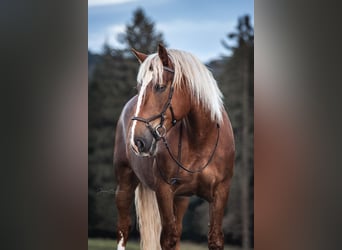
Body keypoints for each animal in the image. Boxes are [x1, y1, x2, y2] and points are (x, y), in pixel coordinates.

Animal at [115, 45, 235, 250]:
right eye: (140, 88)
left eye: (160, 87)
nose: (137, 141)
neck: (200, 140)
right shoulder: (164, 191)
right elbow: (168, 238)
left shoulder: (221, 192)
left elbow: (214, 238)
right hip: (124, 183)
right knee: (124, 228)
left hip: (181, 199)